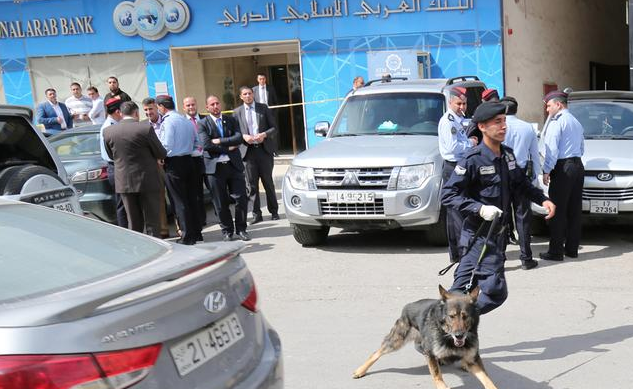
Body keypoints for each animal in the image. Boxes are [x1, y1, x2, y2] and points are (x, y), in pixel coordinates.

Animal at [354, 284, 496, 386]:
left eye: (465, 316)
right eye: (452, 316)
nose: (459, 335)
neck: (447, 336)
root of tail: (408, 305)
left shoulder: (473, 360)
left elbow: (488, 381)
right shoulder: (431, 354)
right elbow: (438, 376)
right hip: (397, 340)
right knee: (376, 352)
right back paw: (360, 370)